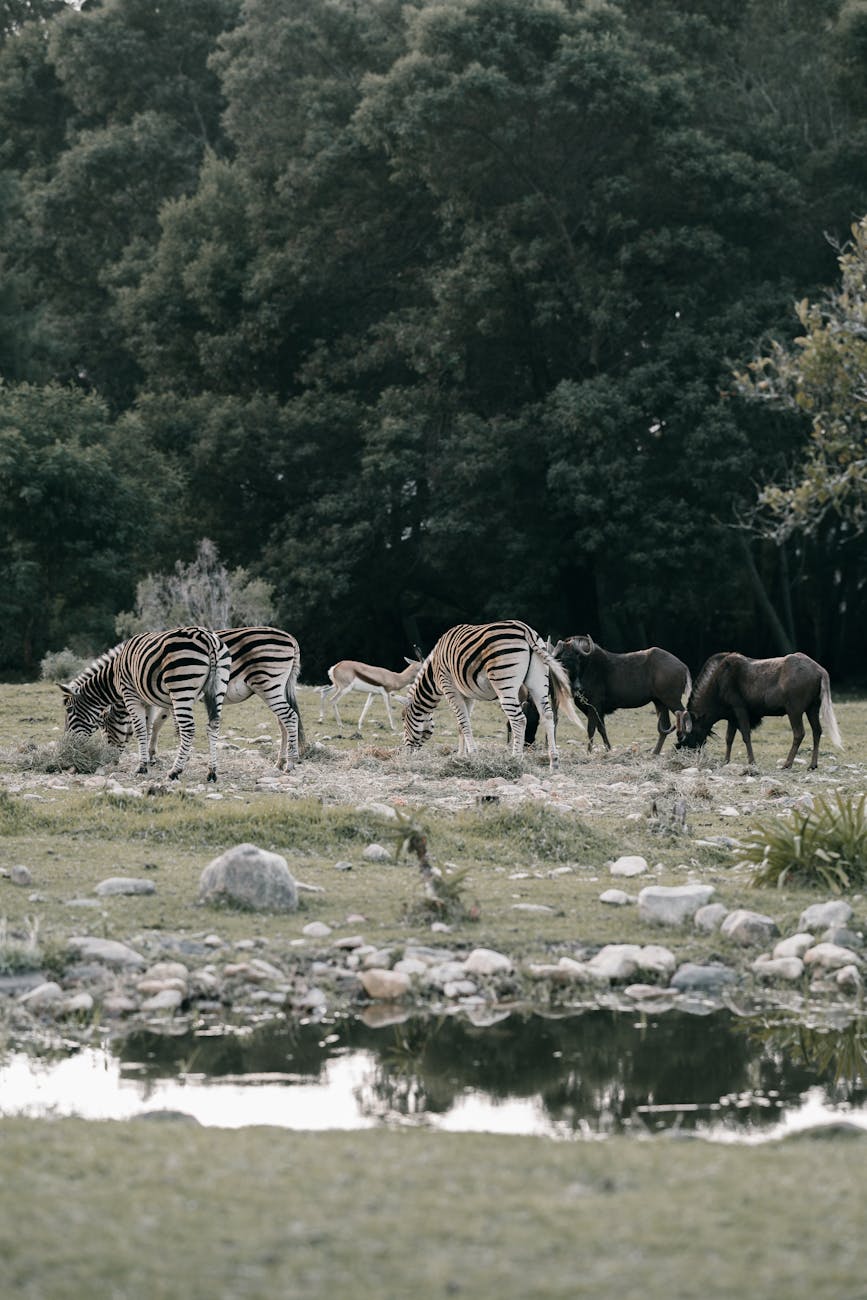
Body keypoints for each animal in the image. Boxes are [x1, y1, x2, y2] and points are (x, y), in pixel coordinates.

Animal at [60, 626, 231, 782]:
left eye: (69, 710)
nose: (68, 745)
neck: (114, 676)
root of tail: (207, 637)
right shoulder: (148, 701)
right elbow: (148, 728)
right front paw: (148, 761)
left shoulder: (130, 694)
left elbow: (140, 729)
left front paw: (141, 767)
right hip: (218, 687)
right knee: (213, 726)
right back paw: (212, 772)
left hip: (181, 688)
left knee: (188, 729)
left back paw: (174, 771)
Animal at [101, 626, 304, 771]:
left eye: (104, 726)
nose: (110, 761)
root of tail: (291, 638)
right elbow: (157, 723)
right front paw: (152, 755)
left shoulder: (171, 694)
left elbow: (163, 724)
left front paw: (157, 756)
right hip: (278, 686)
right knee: (283, 722)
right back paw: (280, 762)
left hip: (268, 684)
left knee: (289, 717)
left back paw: (290, 763)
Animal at [403, 620, 581, 770]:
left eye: (403, 719)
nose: (405, 753)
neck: (433, 673)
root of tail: (527, 630)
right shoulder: (467, 694)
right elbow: (462, 724)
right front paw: (461, 756)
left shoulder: (450, 688)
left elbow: (463, 723)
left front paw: (472, 754)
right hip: (538, 682)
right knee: (548, 715)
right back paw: (554, 762)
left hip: (505, 684)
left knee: (519, 719)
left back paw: (515, 759)